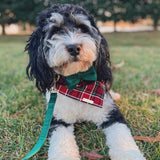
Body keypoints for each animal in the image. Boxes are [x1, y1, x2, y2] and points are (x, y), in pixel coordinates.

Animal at [25, 4, 146, 160]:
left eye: (82, 28)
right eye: (56, 30)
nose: (74, 47)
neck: (78, 84)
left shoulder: (111, 113)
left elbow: (122, 137)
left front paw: (130, 154)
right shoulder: (58, 119)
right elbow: (61, 144)